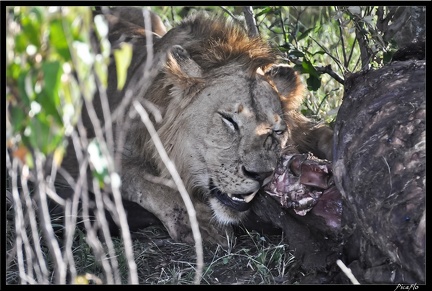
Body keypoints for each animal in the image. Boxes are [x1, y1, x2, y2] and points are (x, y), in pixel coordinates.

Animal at [55, 6, 332, 245]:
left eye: (277, 132)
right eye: (229, 121)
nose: (262, 175)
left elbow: (321, 133)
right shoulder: (78, 152)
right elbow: (142, 179)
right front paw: (200, 222)